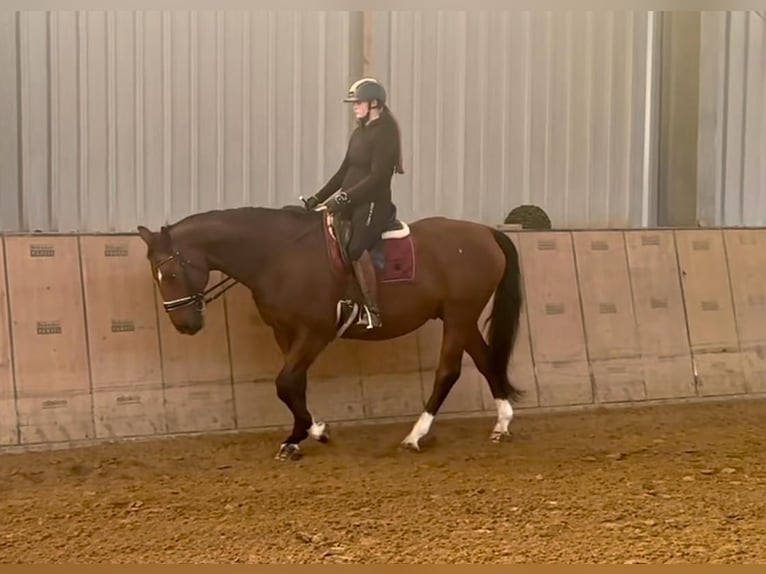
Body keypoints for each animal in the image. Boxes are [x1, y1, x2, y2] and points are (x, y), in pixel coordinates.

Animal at [135, 205, 524, 462]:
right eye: (155, 275)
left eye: (171, 273)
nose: (185, 325)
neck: (278, 256)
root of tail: (486, 233)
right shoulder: (285, 332)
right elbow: (294, 384)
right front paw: (295, 439)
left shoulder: (315, 332)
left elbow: (285, 383)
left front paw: (316, 431)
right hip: (462, 317)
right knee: (486, 359)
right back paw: (502, 424)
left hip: (458, 316)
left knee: (448, 371)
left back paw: (415, 436)